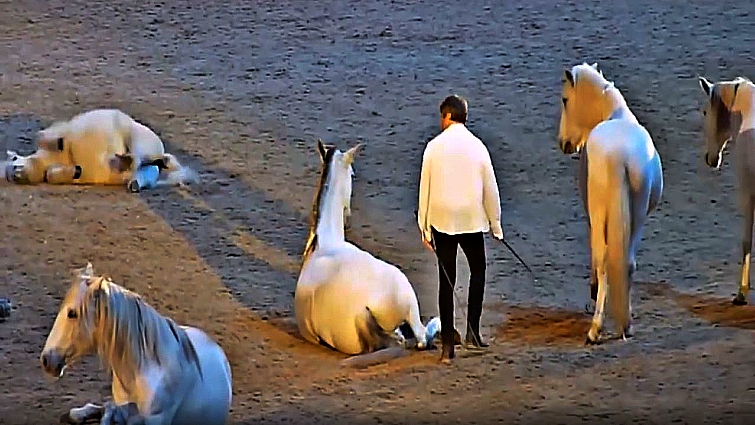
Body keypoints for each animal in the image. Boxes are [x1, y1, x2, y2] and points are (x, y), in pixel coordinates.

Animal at [5, 108, 198, 192]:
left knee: (143, 159)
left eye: (14, 159)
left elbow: (48, 137)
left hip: (139, 142)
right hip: (145, 166)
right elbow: (55, 174)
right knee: (142, 170)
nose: (13, 173)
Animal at [558, 62, 664, 344]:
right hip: (638, 217)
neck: (615, 115)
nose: (564, 143)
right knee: (627, 263)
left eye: (565, 100)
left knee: (605, 260)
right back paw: (625, 324)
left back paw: (595, 328)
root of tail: (619, 156)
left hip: (600, 213)